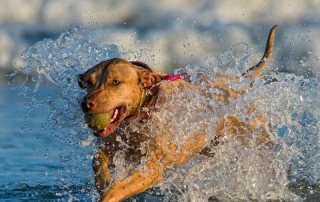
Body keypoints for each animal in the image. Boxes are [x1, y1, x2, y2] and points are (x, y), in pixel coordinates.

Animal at [78, 26, 278, 201]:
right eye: (89, 82)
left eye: (116, 82)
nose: (86, 104)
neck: (143, 112)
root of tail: (235, 81)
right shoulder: (115, 148)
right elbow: (97, 158)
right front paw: (103, 180)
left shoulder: (152, 169)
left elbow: (118, 189)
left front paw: (108, 194)